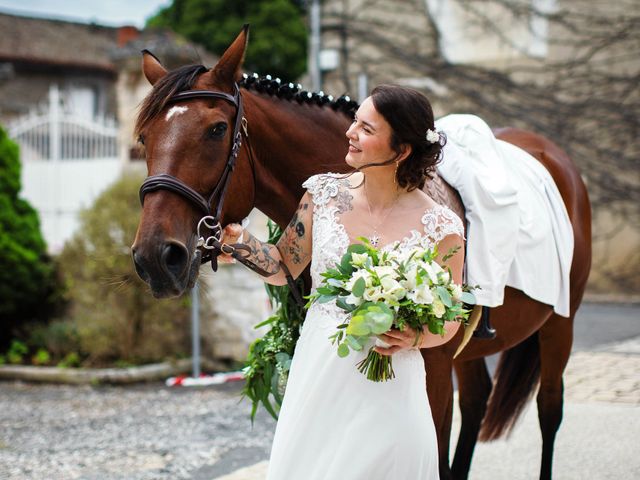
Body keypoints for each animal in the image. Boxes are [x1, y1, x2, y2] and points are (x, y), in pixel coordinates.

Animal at [130, 28, 592, 478]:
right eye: (144, 138)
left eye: (216, 130)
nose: (155, 257)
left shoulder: (437, 371)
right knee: (477, 401)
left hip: (560, 326)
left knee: (549, 411)